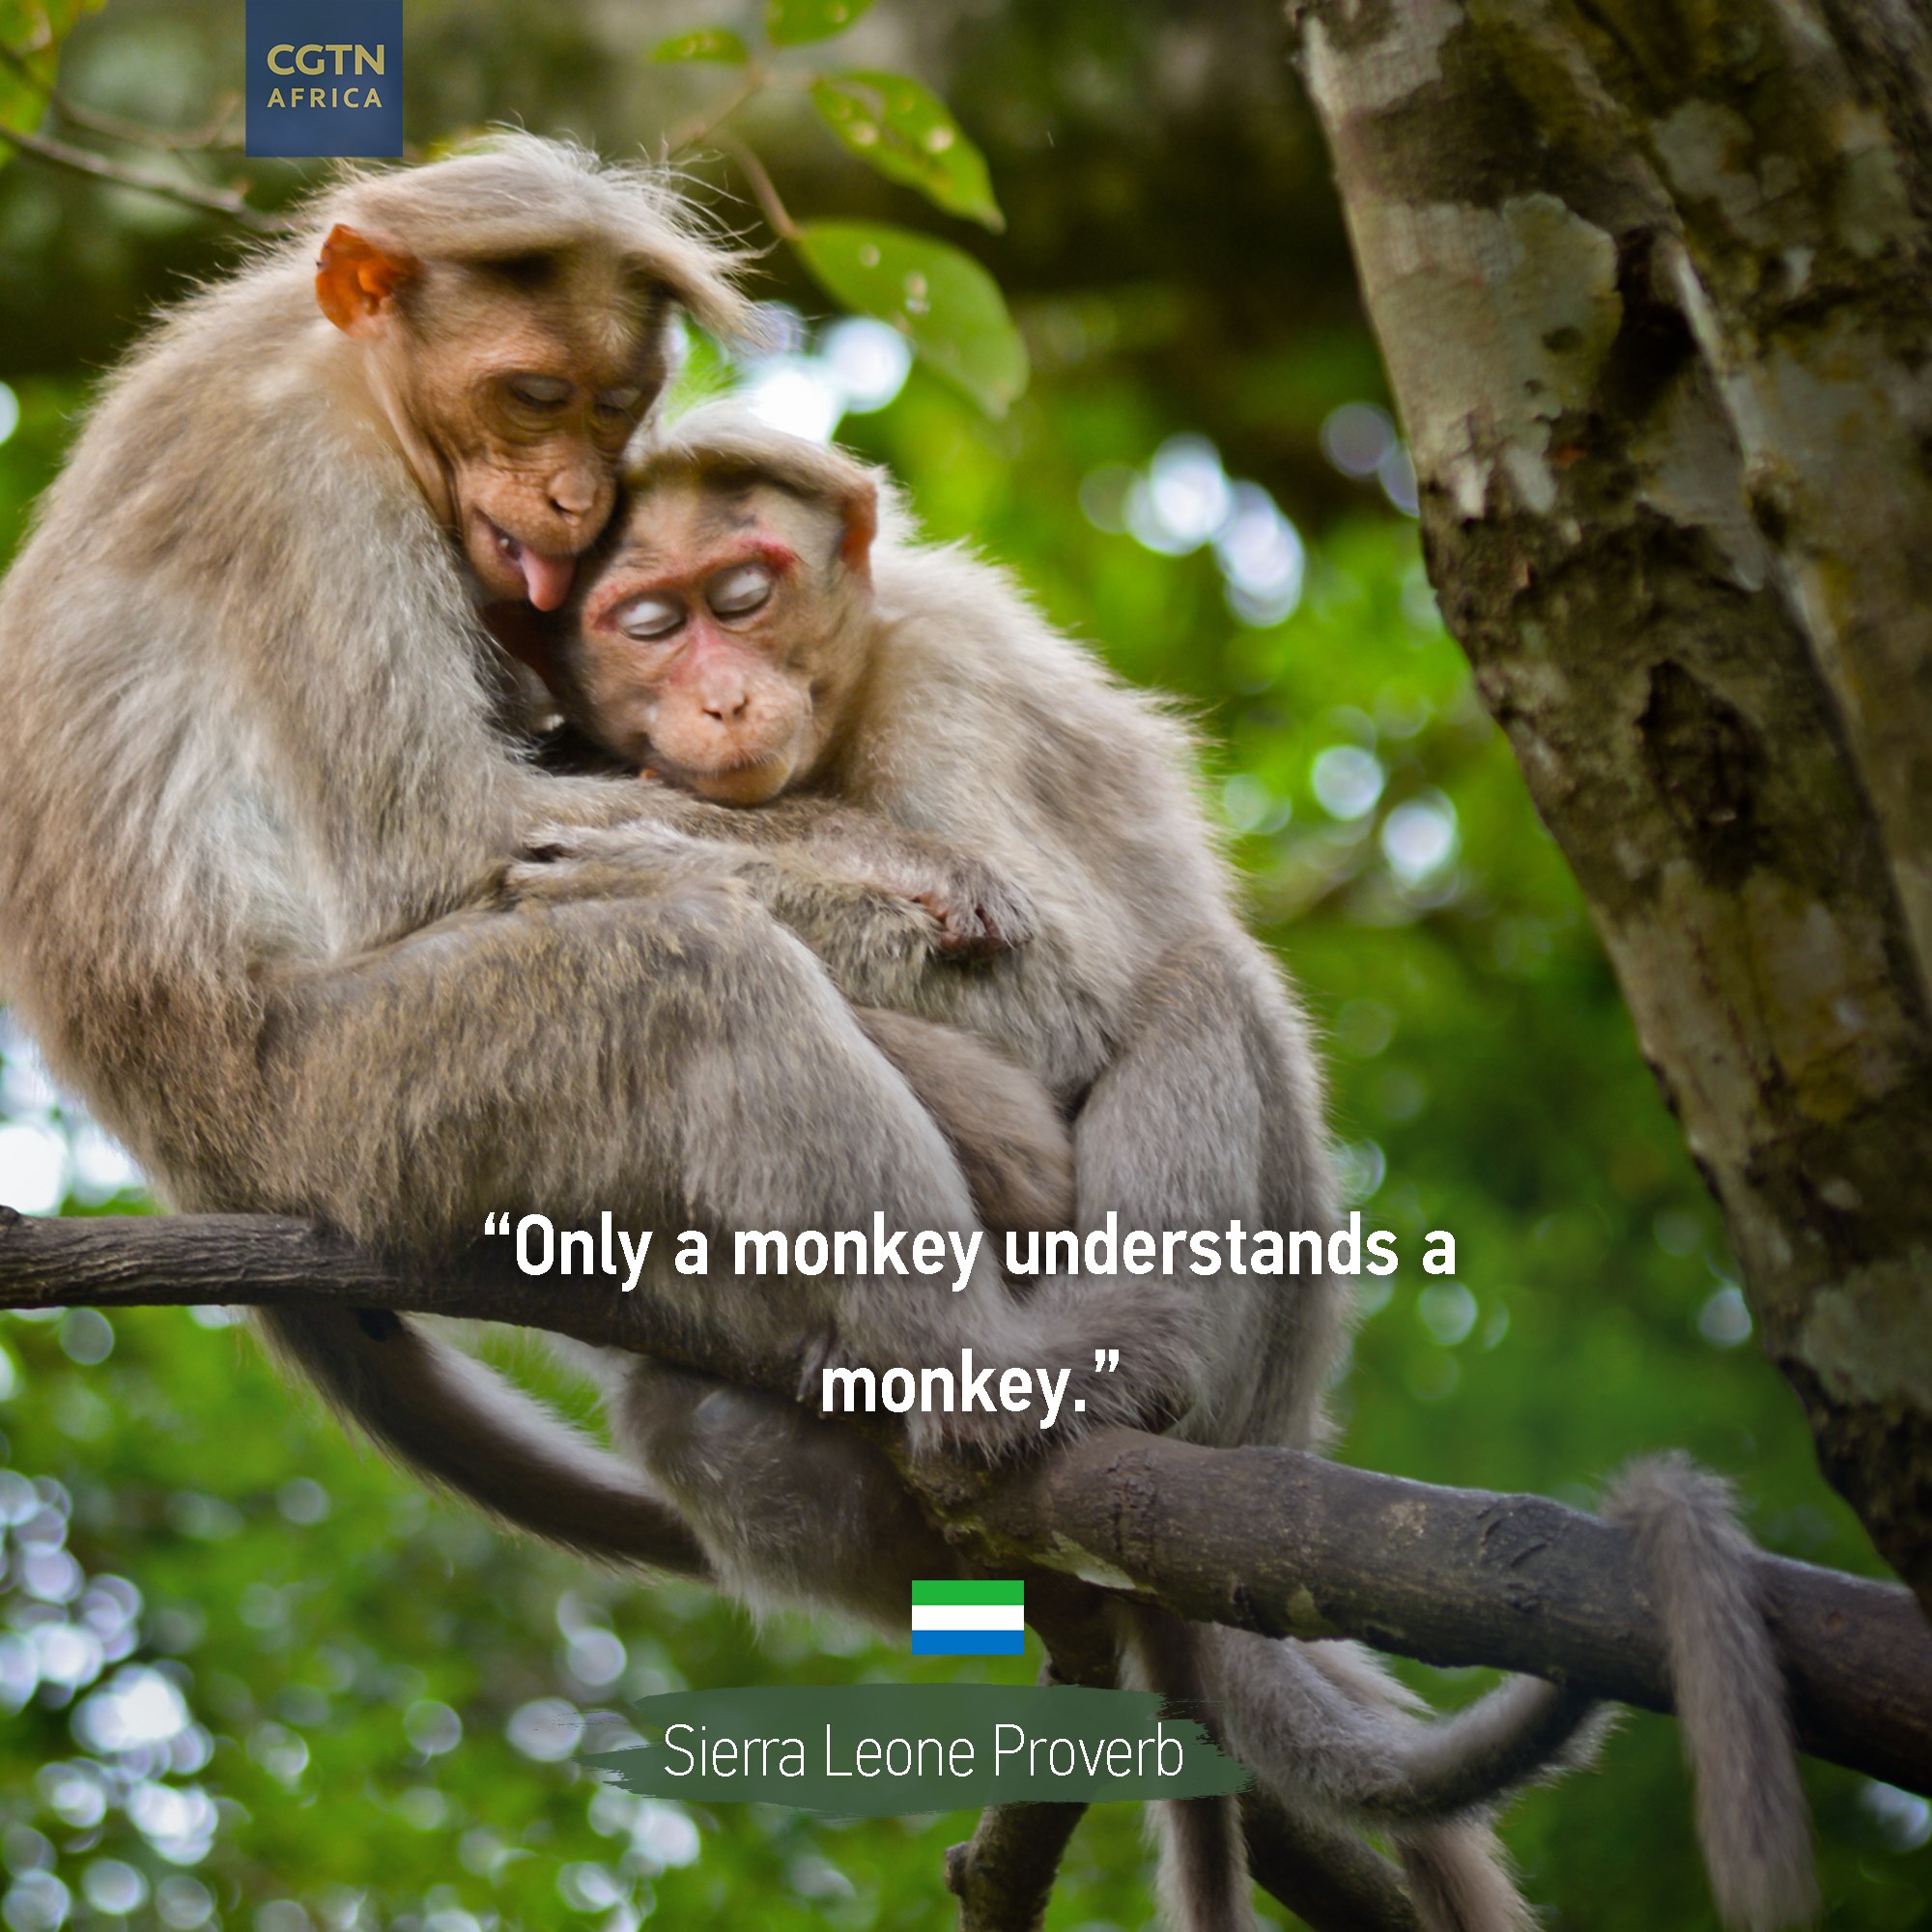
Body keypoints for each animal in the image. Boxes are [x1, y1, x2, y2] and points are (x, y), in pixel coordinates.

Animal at [508, 405, 1817, 1932]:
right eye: (649, 622)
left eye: (741, 594)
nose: (718, 699)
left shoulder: (952, 683)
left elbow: (1071, 995)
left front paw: (664, 858)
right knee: (682, 1410)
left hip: (1262, 1336)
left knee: (1201, 982)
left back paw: (1108, 1368)